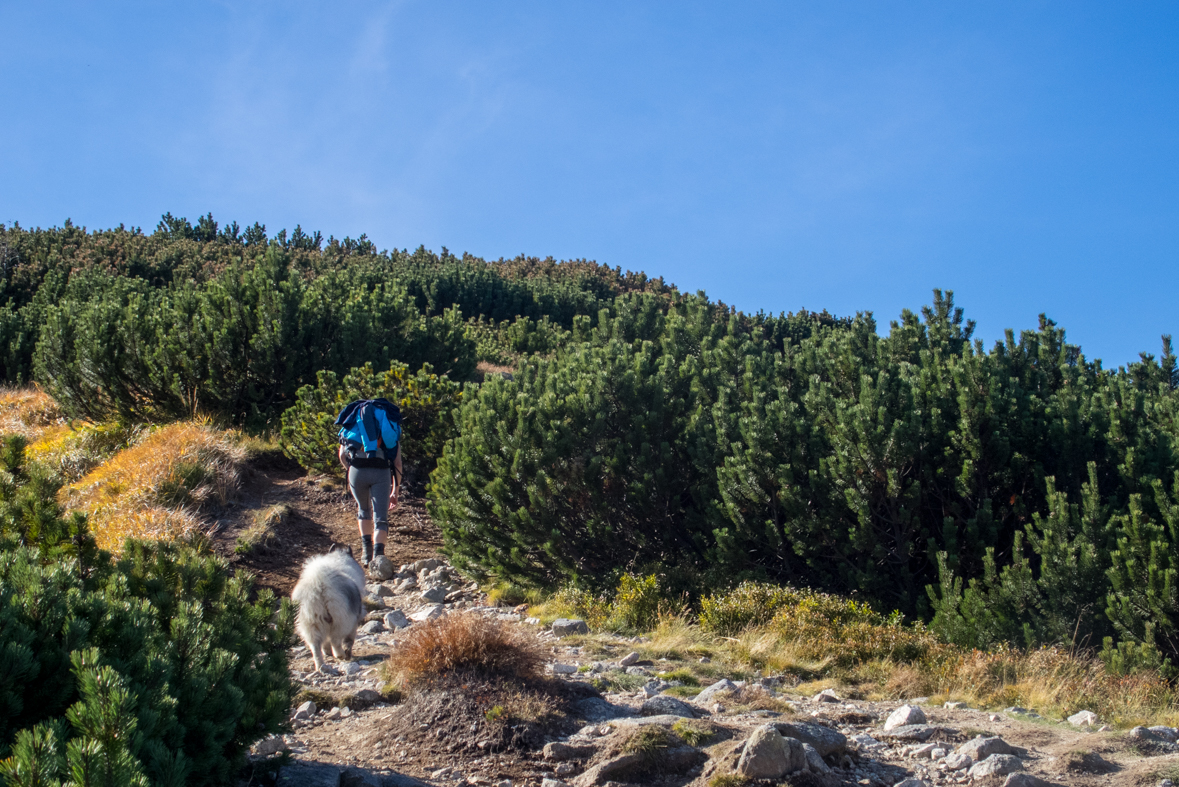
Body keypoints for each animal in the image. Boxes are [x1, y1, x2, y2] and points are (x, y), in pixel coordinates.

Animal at [290, 544, 363, 673]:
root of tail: (320, 585)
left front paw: (327, 652)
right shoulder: (354, 623)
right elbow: (349, 640)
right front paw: (347, 653)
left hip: (311, 623)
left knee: (315, 646)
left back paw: (320, 665)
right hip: (341, 621)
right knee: (336, 640)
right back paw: (340, 655)